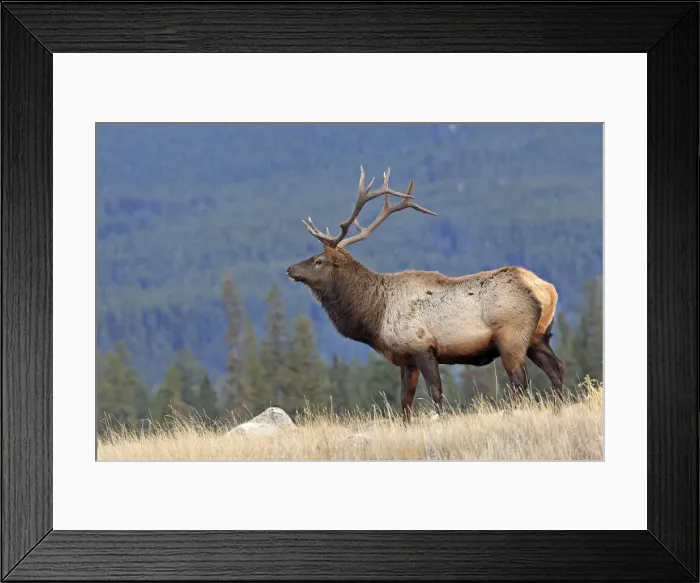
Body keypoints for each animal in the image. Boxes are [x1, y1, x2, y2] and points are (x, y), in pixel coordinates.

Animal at [286, 166, 566, 422]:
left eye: (318, 260)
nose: (290, 268)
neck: (376, 314)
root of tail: (546, 289)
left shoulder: (422, 346)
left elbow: (435, 392)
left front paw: (440, 421)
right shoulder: (406, 358)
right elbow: (405, 400)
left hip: (511, 335)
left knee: (520, 379)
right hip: (538, 336)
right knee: (557, 368)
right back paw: (557, 409)